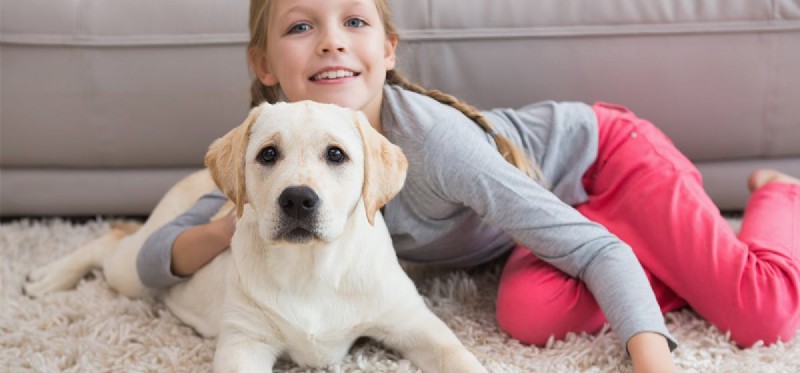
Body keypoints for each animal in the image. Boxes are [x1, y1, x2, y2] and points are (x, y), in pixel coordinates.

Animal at [23, 100, 488, 370]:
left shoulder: (415, 323)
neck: (310, 269)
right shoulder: (245, 341)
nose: (298, 199)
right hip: (138, 271)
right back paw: (48, 276)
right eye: (268, 154)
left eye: (336, 154)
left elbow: (461, 357)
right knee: (112, 240)